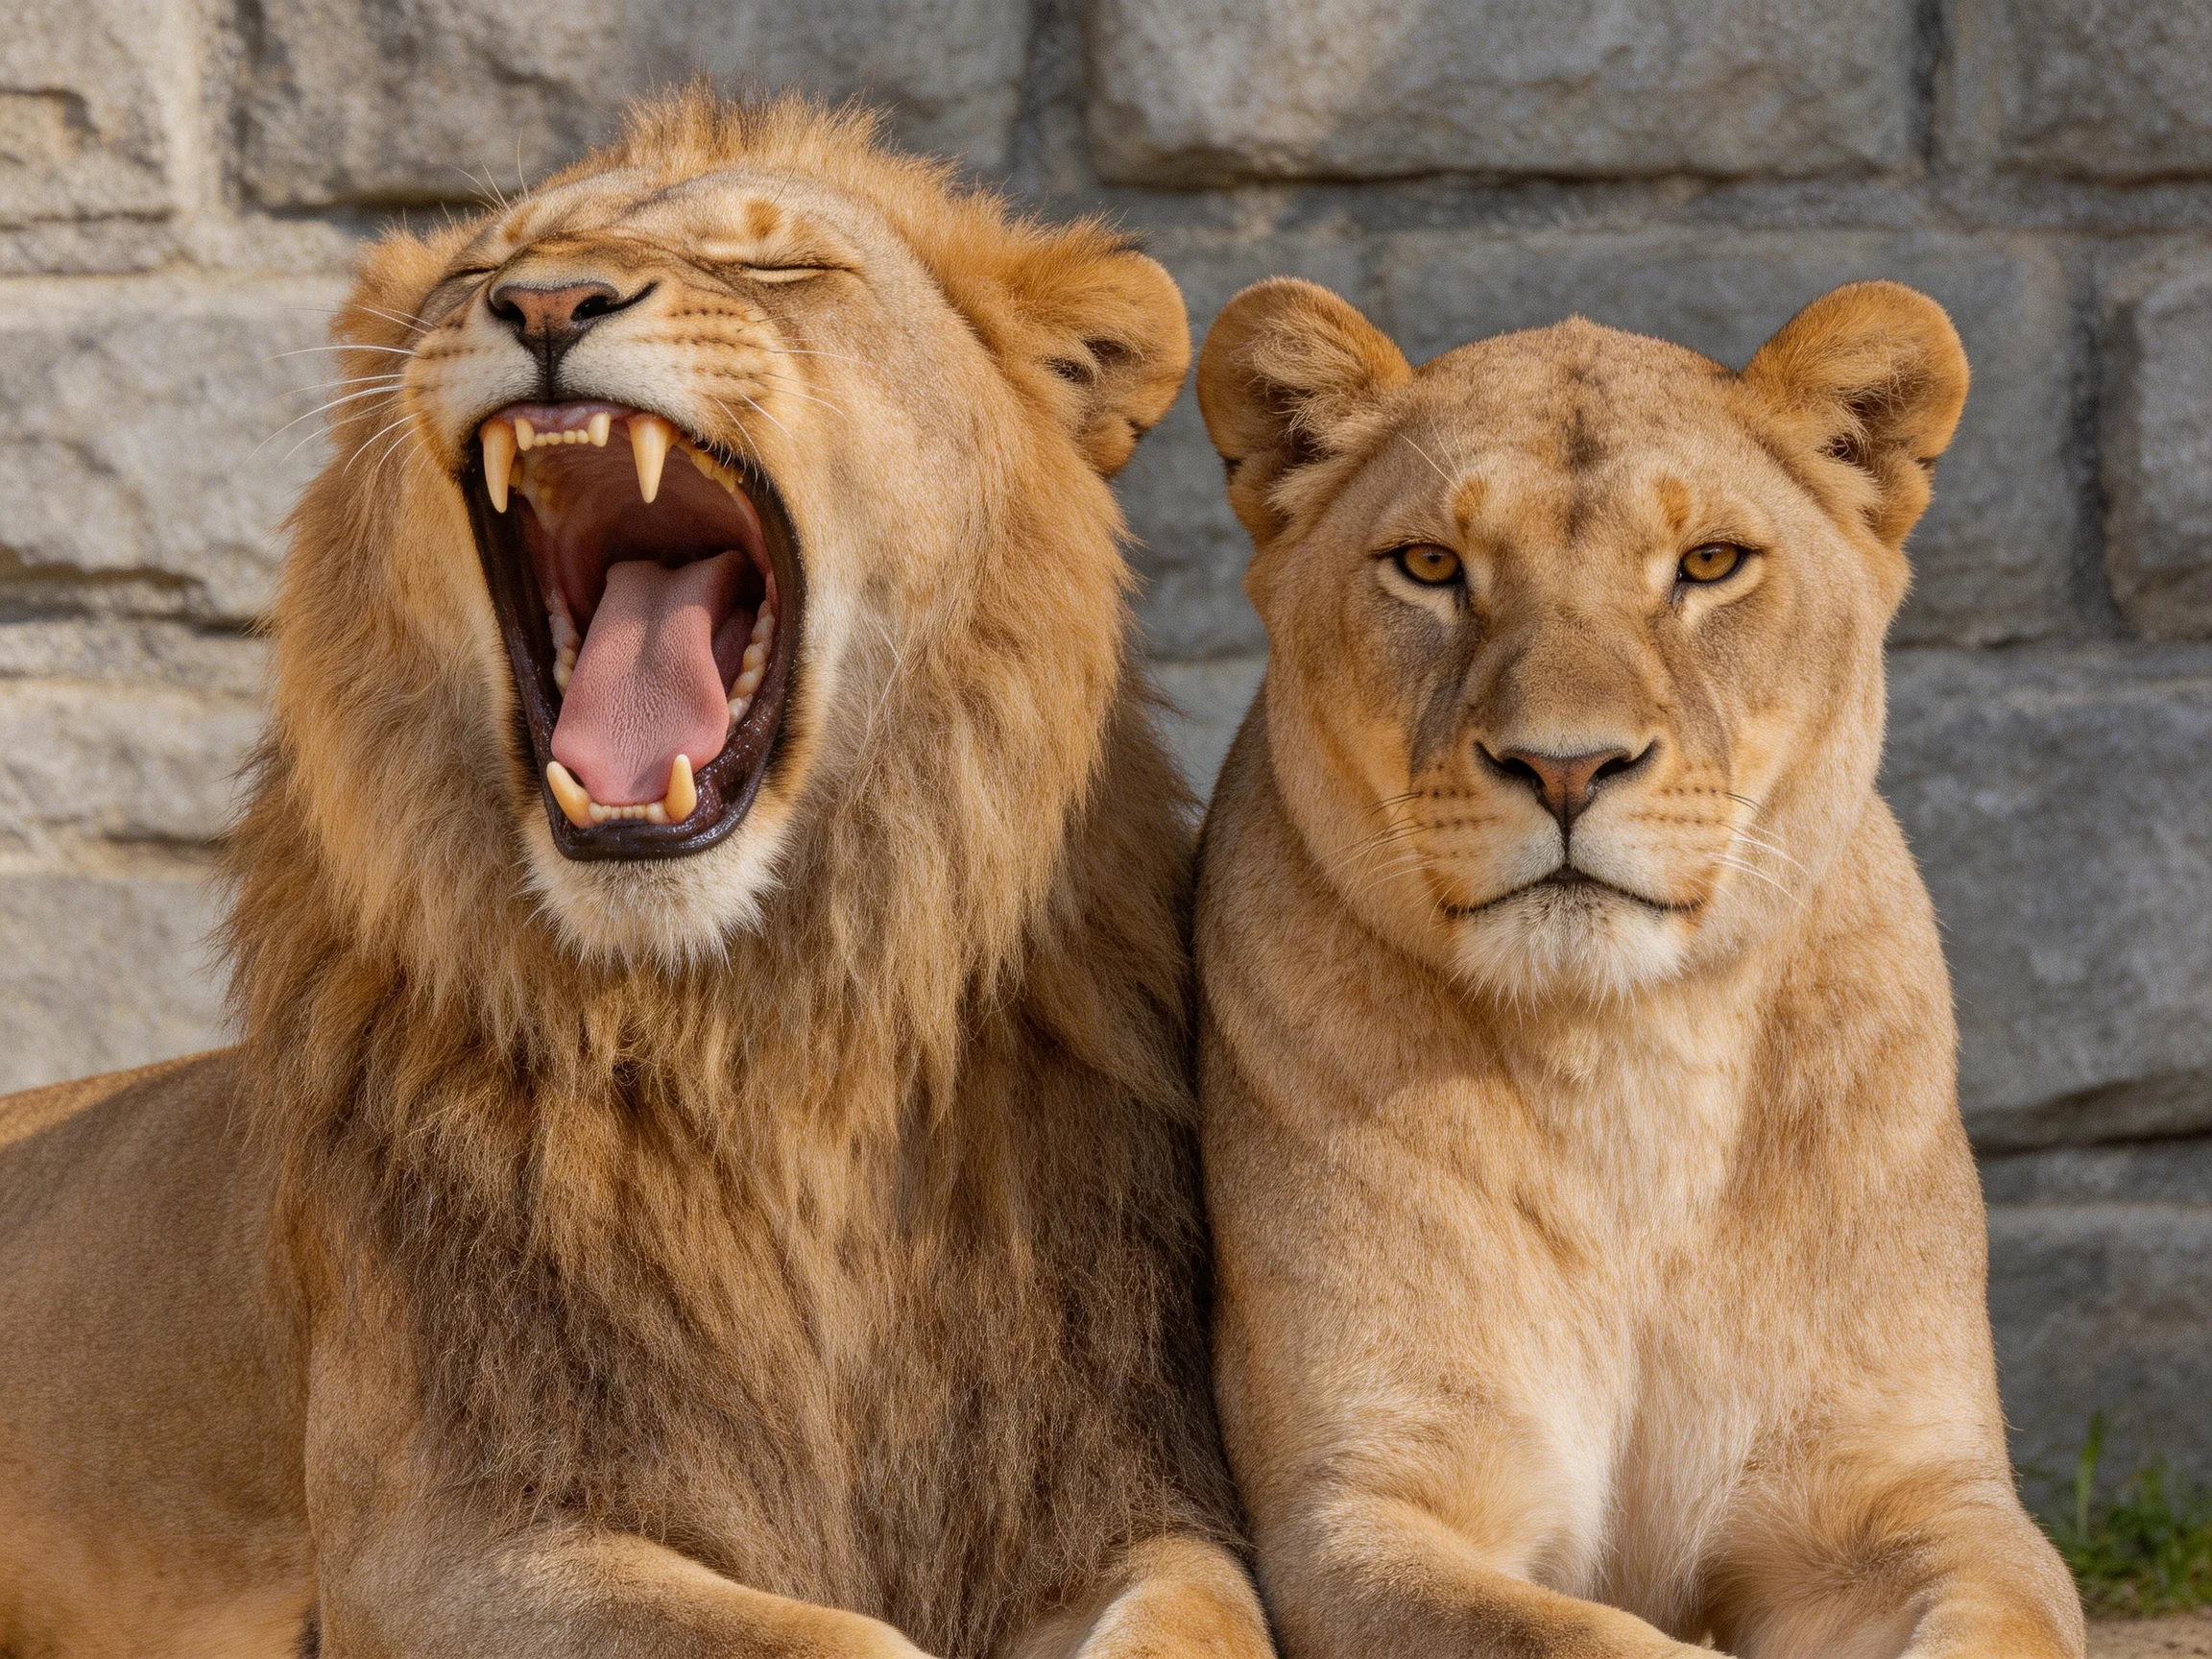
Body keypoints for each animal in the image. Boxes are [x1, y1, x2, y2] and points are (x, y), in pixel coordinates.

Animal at [0, 92, 1276, 1659]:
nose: (546, 303)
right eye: (482, 268)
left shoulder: (1125, 1488)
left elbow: (1199, 1622)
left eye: (784, 269)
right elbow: (835, 1637)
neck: (763, 1041)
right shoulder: (445, 1544)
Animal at [1189, 277, 2086, 1659]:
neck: (1624, 1065)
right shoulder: (1356, 1509)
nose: (1566, 767)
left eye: (1709, 564)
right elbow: (1584, 1637)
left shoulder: (1915, 1491)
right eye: (1431, 566)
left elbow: (2002, 1624)